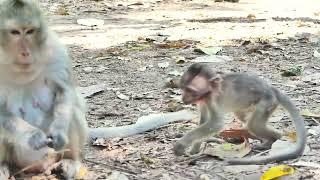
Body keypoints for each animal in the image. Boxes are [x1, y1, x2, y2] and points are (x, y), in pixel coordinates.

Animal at [175, 63, 308, 165]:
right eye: (183, 88)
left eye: (190, 90)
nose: (183, 98)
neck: (209, 91)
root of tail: (271, 89)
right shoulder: (203, 100)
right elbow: (204, 119)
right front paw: (194, 150)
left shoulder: (212, 99)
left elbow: (216, 123)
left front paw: (181, 144)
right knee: (243, 117)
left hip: (267, 103)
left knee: (254, 125)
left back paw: (274, 138)